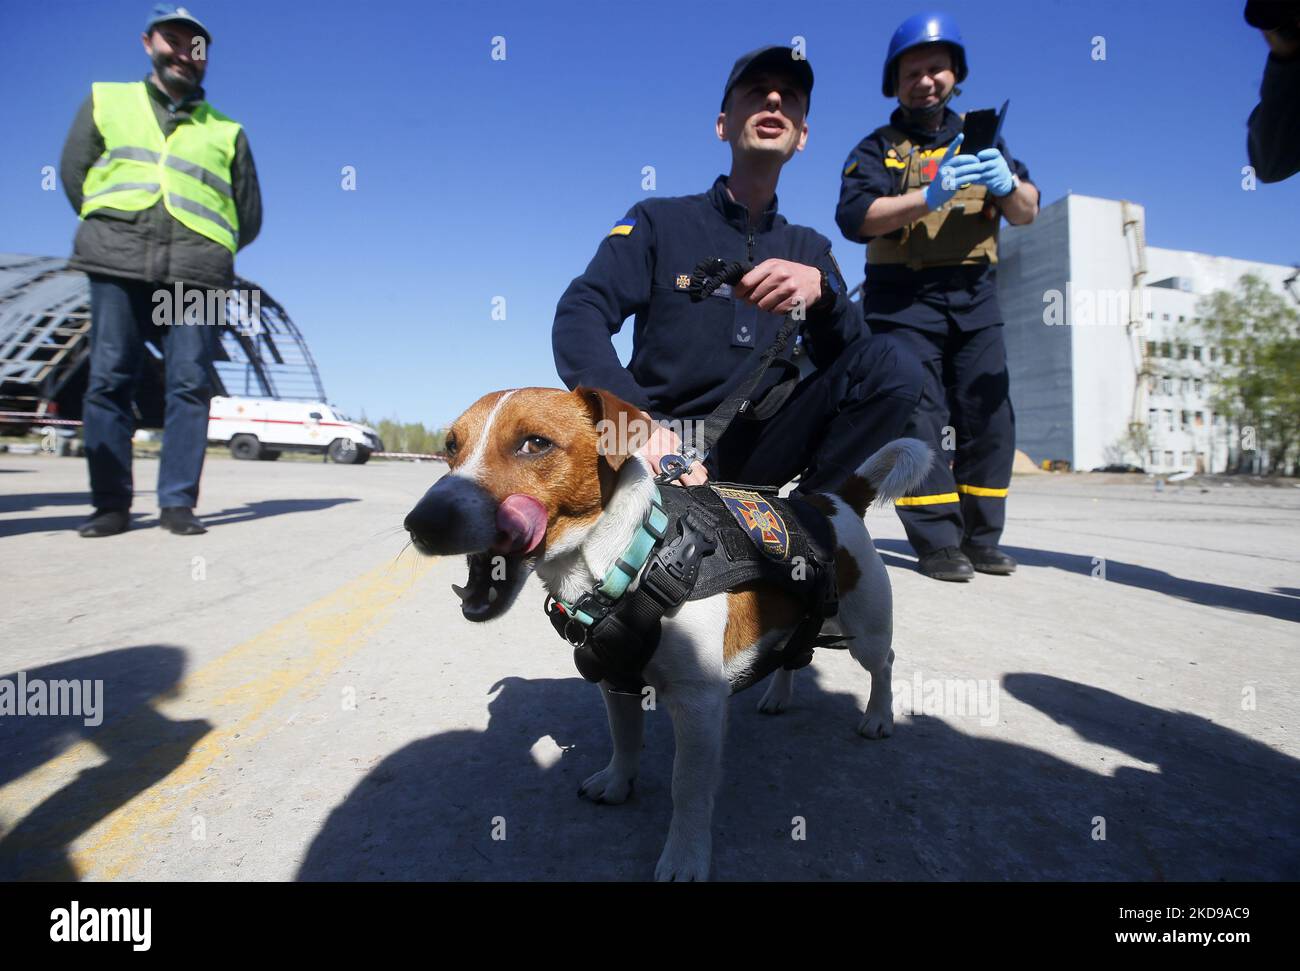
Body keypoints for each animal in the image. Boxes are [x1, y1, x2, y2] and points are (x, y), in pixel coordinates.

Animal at [400, 384, 930, 878]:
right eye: (451, 447)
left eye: (535, 443)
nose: (420, 523)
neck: (633, 555)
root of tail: (834, 501)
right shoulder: (616, 682)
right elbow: (625, 738)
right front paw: (617, 782)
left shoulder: (698, 703)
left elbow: (687, 788)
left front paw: (685, 855)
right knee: (797, 652)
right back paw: (779, 694)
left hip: (867, 631)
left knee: (883, 664)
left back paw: (878, 716)